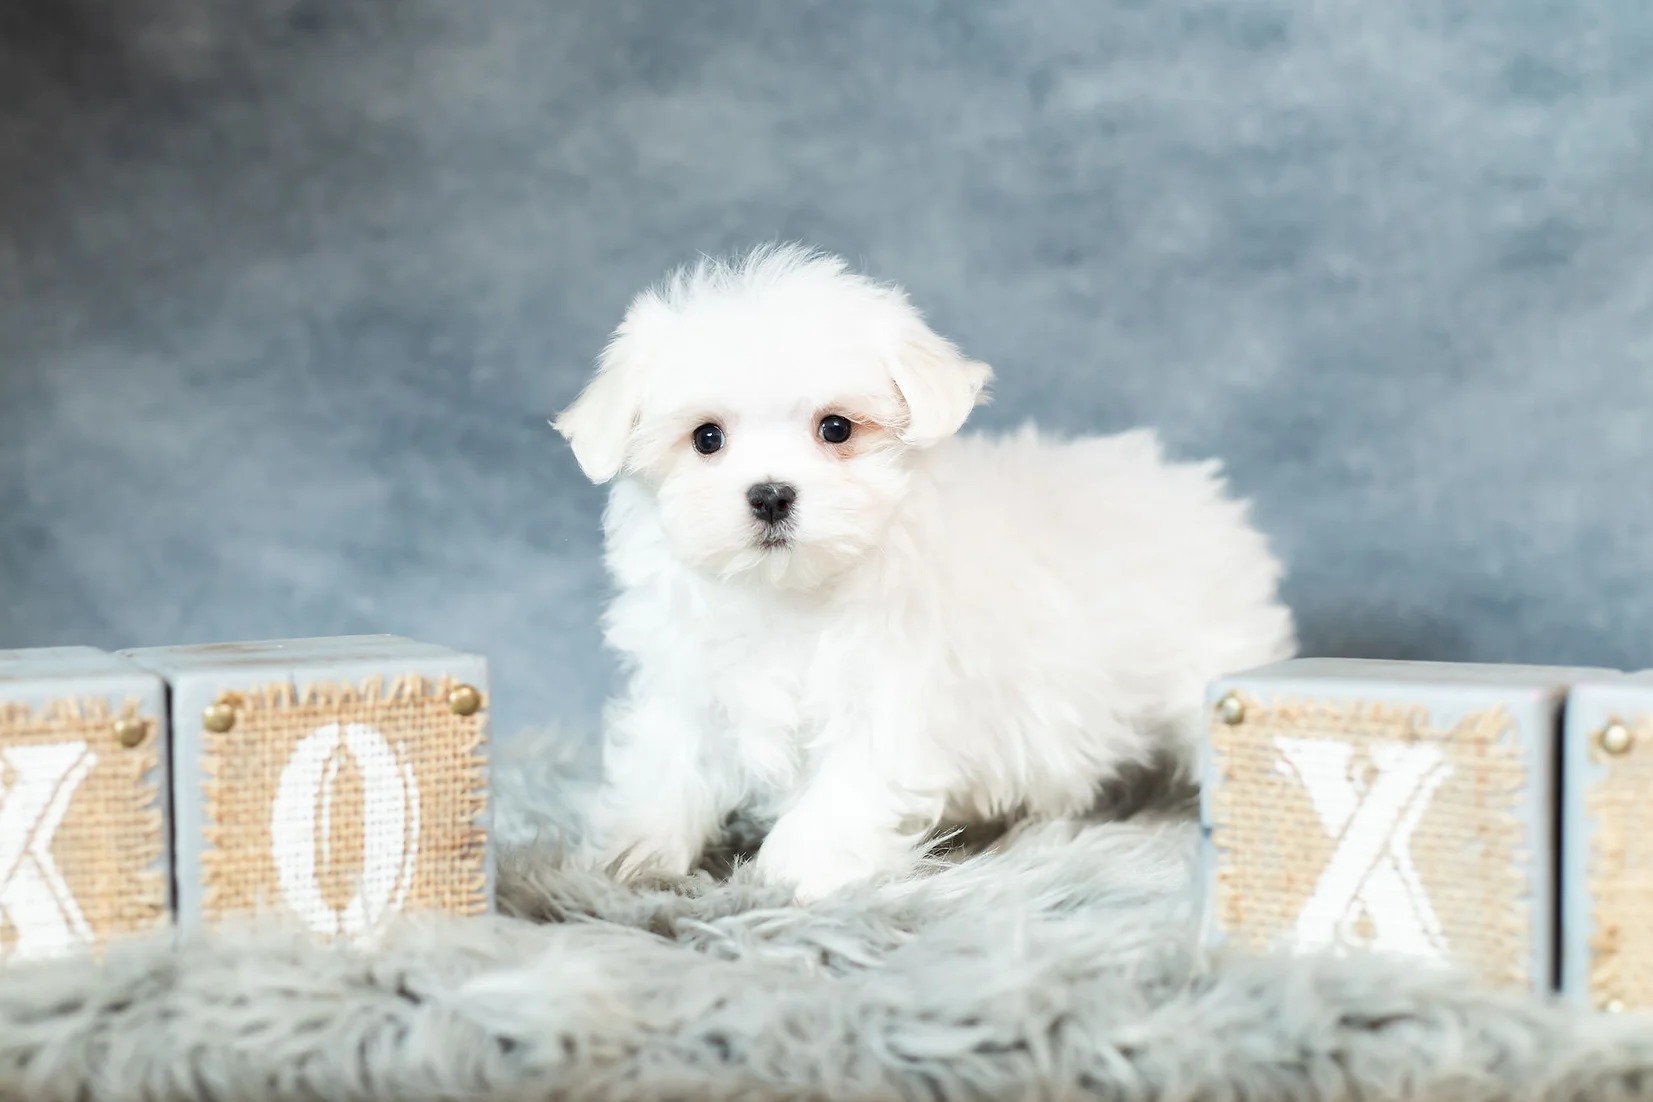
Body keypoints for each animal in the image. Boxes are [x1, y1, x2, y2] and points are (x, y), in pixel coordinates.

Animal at [548, 246, 1295, 898]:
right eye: (706, 438)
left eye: (836, 428)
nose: (770, 495)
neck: (788, 596)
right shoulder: (688, 683)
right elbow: (665, 765)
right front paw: (631, 855)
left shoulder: (891, 697)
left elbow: (844, 789)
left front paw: (793, 873)